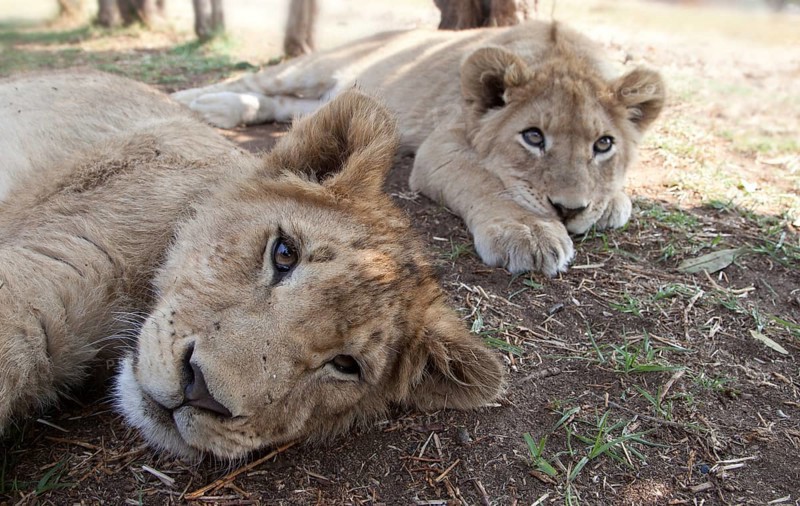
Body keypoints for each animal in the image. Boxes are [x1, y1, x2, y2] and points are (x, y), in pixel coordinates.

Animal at [172, 21, 665, 276]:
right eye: (533, 136)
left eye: (604, 144)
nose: (568, 209)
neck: (562, 54)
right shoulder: (440, 144)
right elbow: (484, 181)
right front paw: (529, 232)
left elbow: (621, 198)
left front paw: (606, 204)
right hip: (314, 66)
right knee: (258, 80)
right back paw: (194, 101)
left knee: (285, 104)